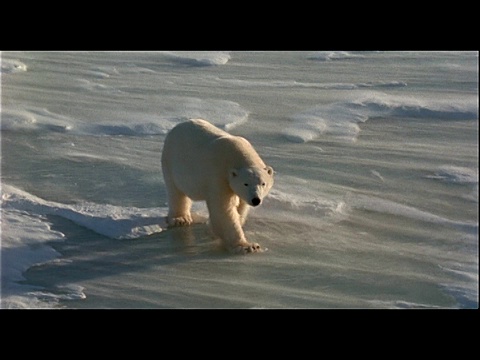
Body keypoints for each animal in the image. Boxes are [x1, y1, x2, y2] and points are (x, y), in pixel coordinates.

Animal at [161, 118, 274, 253]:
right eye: (245, 183)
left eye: (263, 183)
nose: (256, 200)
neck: (236, 154)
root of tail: (177, 127)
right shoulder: (219, 175)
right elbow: (223, 209)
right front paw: (248, 246)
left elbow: (241, 206)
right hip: (171, 162)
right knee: (176, 192)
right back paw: (180, 219)